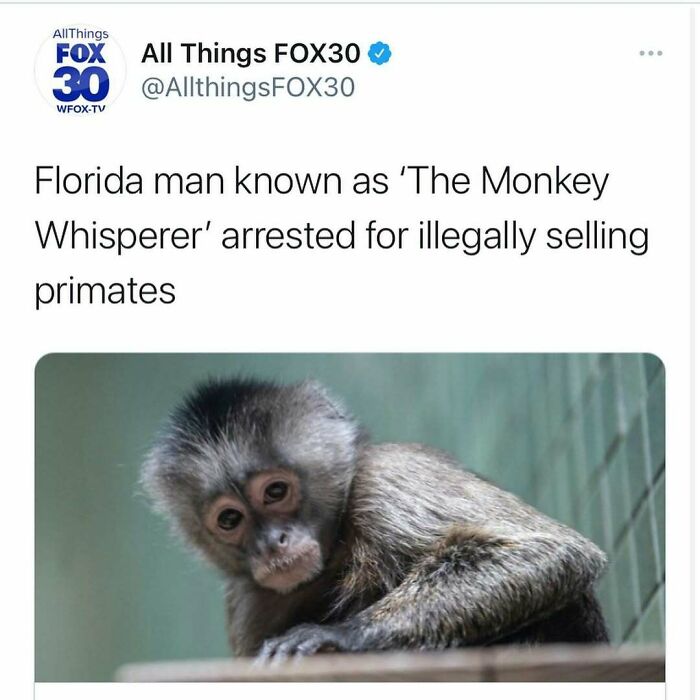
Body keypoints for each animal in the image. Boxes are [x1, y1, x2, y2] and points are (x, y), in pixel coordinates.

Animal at [142, 377, 609, 661]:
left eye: (275, 492)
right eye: (230, 519)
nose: (272, 542)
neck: (334, 548)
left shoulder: (385, 477)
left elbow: (554, 553)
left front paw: (344, 634)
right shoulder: (247, 599)